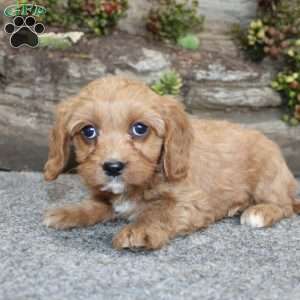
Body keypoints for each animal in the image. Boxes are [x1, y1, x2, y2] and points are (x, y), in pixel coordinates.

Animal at [43, 76, 298, 250]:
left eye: (140, 128)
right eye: (88, 131)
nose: (113, 167)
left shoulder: (190, 203)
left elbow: (160, 211)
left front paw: (139, 229)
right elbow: (96, 204)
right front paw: (69, 212)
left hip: (267, 178)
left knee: (285, 206)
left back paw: (259, 211)